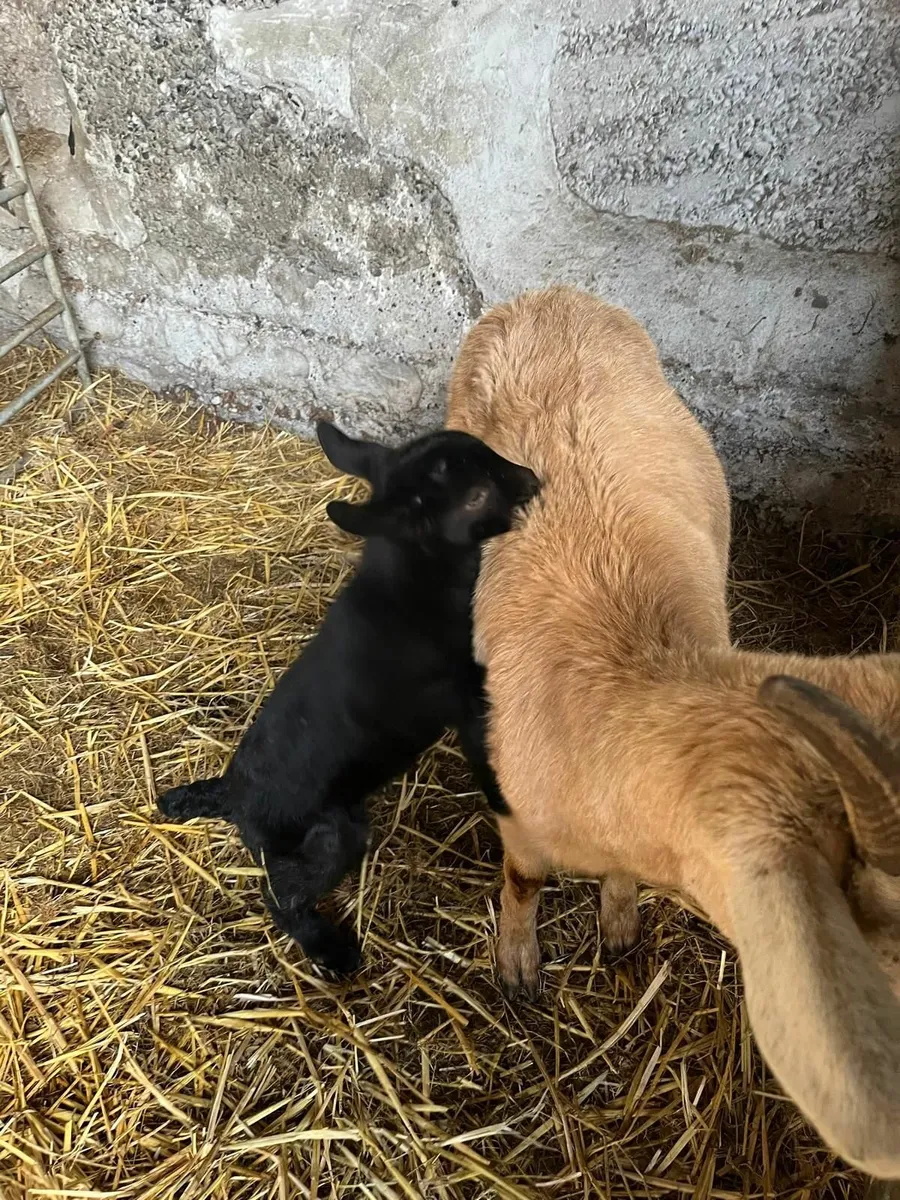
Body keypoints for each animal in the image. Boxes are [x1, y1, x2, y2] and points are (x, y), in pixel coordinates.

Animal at [158, 421, 538, 974]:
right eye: (477, 496)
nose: (534, 480)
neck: (410, 593)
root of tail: (233, 795)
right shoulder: (464, 701)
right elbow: (487, 763)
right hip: (332, 833)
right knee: (281, 896)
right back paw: (331, 950)